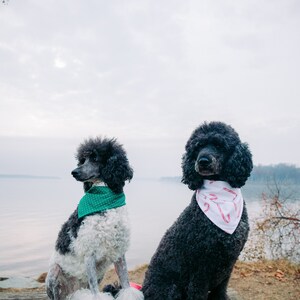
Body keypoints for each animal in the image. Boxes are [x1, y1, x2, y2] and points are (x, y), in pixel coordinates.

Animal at [46, 138, 144, 300]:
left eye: (95, 158)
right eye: (82, 160)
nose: (74, 172)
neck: (105, 201)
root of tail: (73, 292)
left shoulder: (119, 252)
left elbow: (125, 283)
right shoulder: (89, 253)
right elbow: (95, 292)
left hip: (99, 274)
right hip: (53, 274)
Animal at [142, 120, 252, 298]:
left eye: (219, 145)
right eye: (197, 147)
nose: (203, 161)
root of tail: (143, 291)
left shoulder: (229, 262)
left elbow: (221, 289)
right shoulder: (201, 266)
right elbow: (198, 292)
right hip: (171, 289)